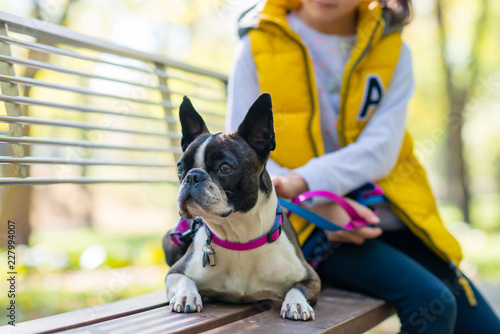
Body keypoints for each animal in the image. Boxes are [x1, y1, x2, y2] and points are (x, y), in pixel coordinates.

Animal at [162, 92, 322, 320]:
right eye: (180, 168)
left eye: (225, 168)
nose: (192, 176)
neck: (239, 238)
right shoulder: (174, 272)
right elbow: (185, 279)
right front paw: (186, 296)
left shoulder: (312, 278)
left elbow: (297, 287)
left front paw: (296, 303)